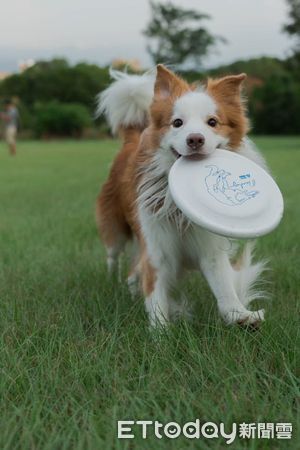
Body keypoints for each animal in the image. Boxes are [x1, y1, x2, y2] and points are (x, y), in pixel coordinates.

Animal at [95, 64, 268, 326]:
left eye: (212, 122)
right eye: (177, 122)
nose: (195, 139)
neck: (179, 209)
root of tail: (132, 138)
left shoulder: (210, 246)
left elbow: (224, 287)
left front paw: (241, 316)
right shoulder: (156, 247)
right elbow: (156, 294)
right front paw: (161, 330)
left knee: (132, 270)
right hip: (115, 227)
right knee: (112, 257)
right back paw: (111, 284)